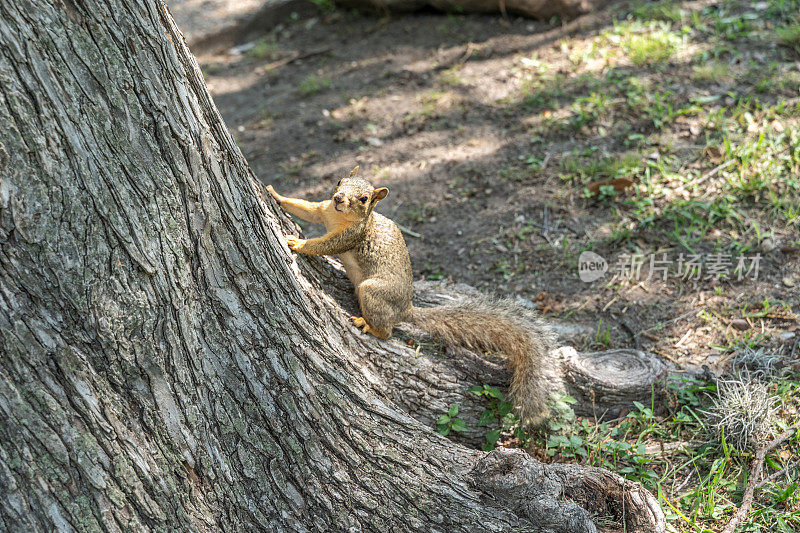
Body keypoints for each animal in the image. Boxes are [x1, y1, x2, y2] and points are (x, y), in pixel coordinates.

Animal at [268, 166, 556, 424]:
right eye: (340, 181)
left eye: (364, 199)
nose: (338, 198)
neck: (339, 217)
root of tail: (405, 309)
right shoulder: (323, 211)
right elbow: (304, 207)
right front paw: (274, 193)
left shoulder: (350, 237)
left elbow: (324, 245)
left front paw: (299, 243)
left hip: (373, 292)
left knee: (386, 330)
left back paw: (369, 325)